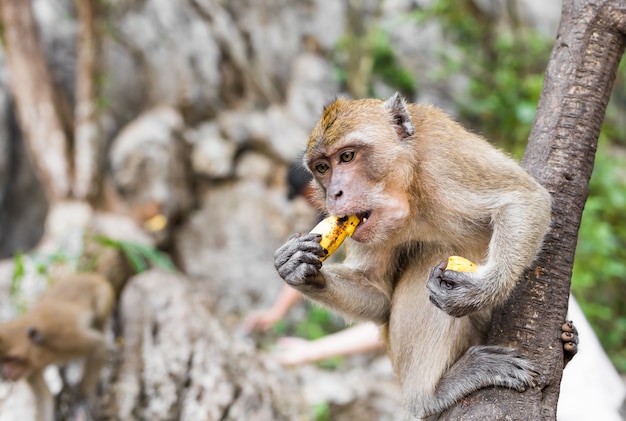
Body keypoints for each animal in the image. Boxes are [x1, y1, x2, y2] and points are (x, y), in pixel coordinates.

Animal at [0, 270, 114, 418]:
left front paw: (83, 398)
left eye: (12, 359)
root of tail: (87, 275)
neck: (42, 352)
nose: (6, 372)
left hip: (103, 291)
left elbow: (97, 346)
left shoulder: (61, 339)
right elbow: (44, 398)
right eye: (3, 361)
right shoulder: (32, 370)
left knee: (100, 317)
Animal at [272, 93, 576, 418]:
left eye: (347, 157)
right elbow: (378, 295)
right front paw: (296, 269)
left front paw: (482, 290)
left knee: (434, 256)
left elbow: (523, 197)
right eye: (322, 168)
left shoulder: (445, 156)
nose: (334, 194)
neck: (409, 192)